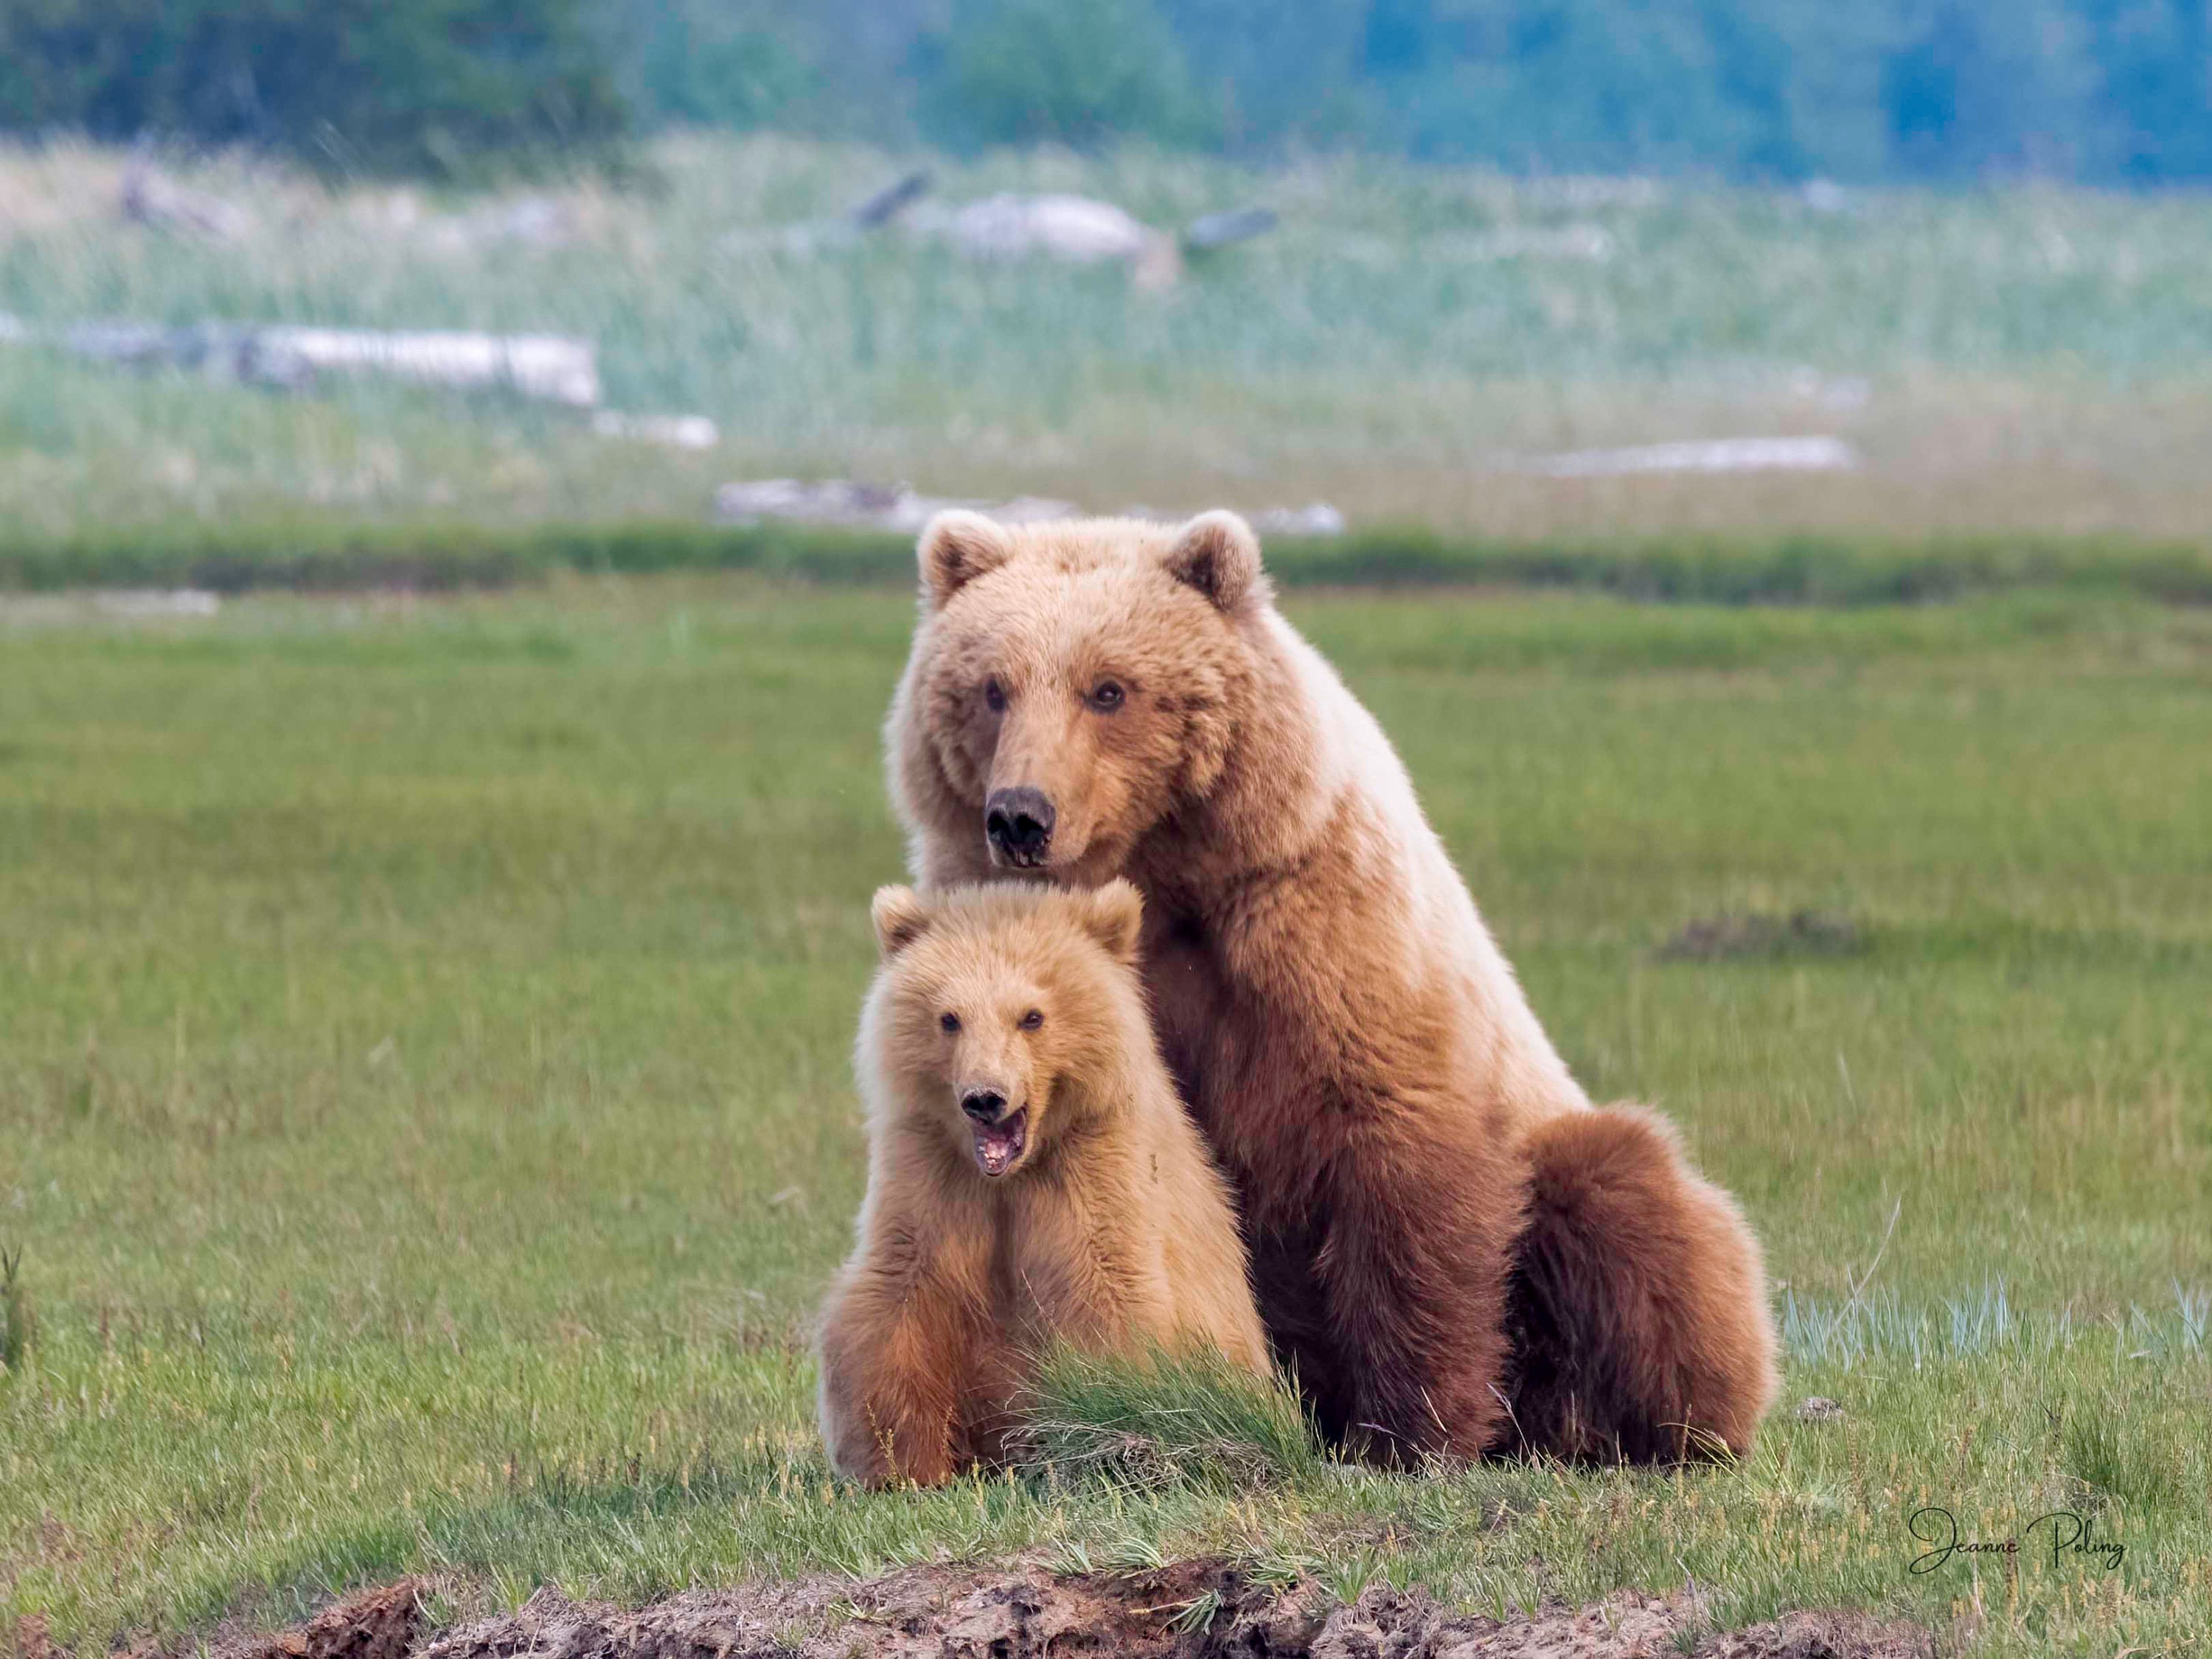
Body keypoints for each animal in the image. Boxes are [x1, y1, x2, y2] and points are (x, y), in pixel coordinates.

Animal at [816, 877, 1272, 1488]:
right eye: (950, 1017)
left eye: (1031, 1016)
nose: (985, 1098)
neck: (1014, 1173)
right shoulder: (931, 1177)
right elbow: (898, 1299)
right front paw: (902, 1466)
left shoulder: (1094, 1174)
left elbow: (1108, 1292)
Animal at [884, 508, 1779, 1464]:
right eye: (992, 688)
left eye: (1109, 689)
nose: (1021, 816)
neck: (1165, 876)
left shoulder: (1316, 935)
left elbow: (1396, 1156)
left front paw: (1411, 1433)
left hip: (1561, 1147)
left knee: (1630, 1207)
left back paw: (1627, 1422)